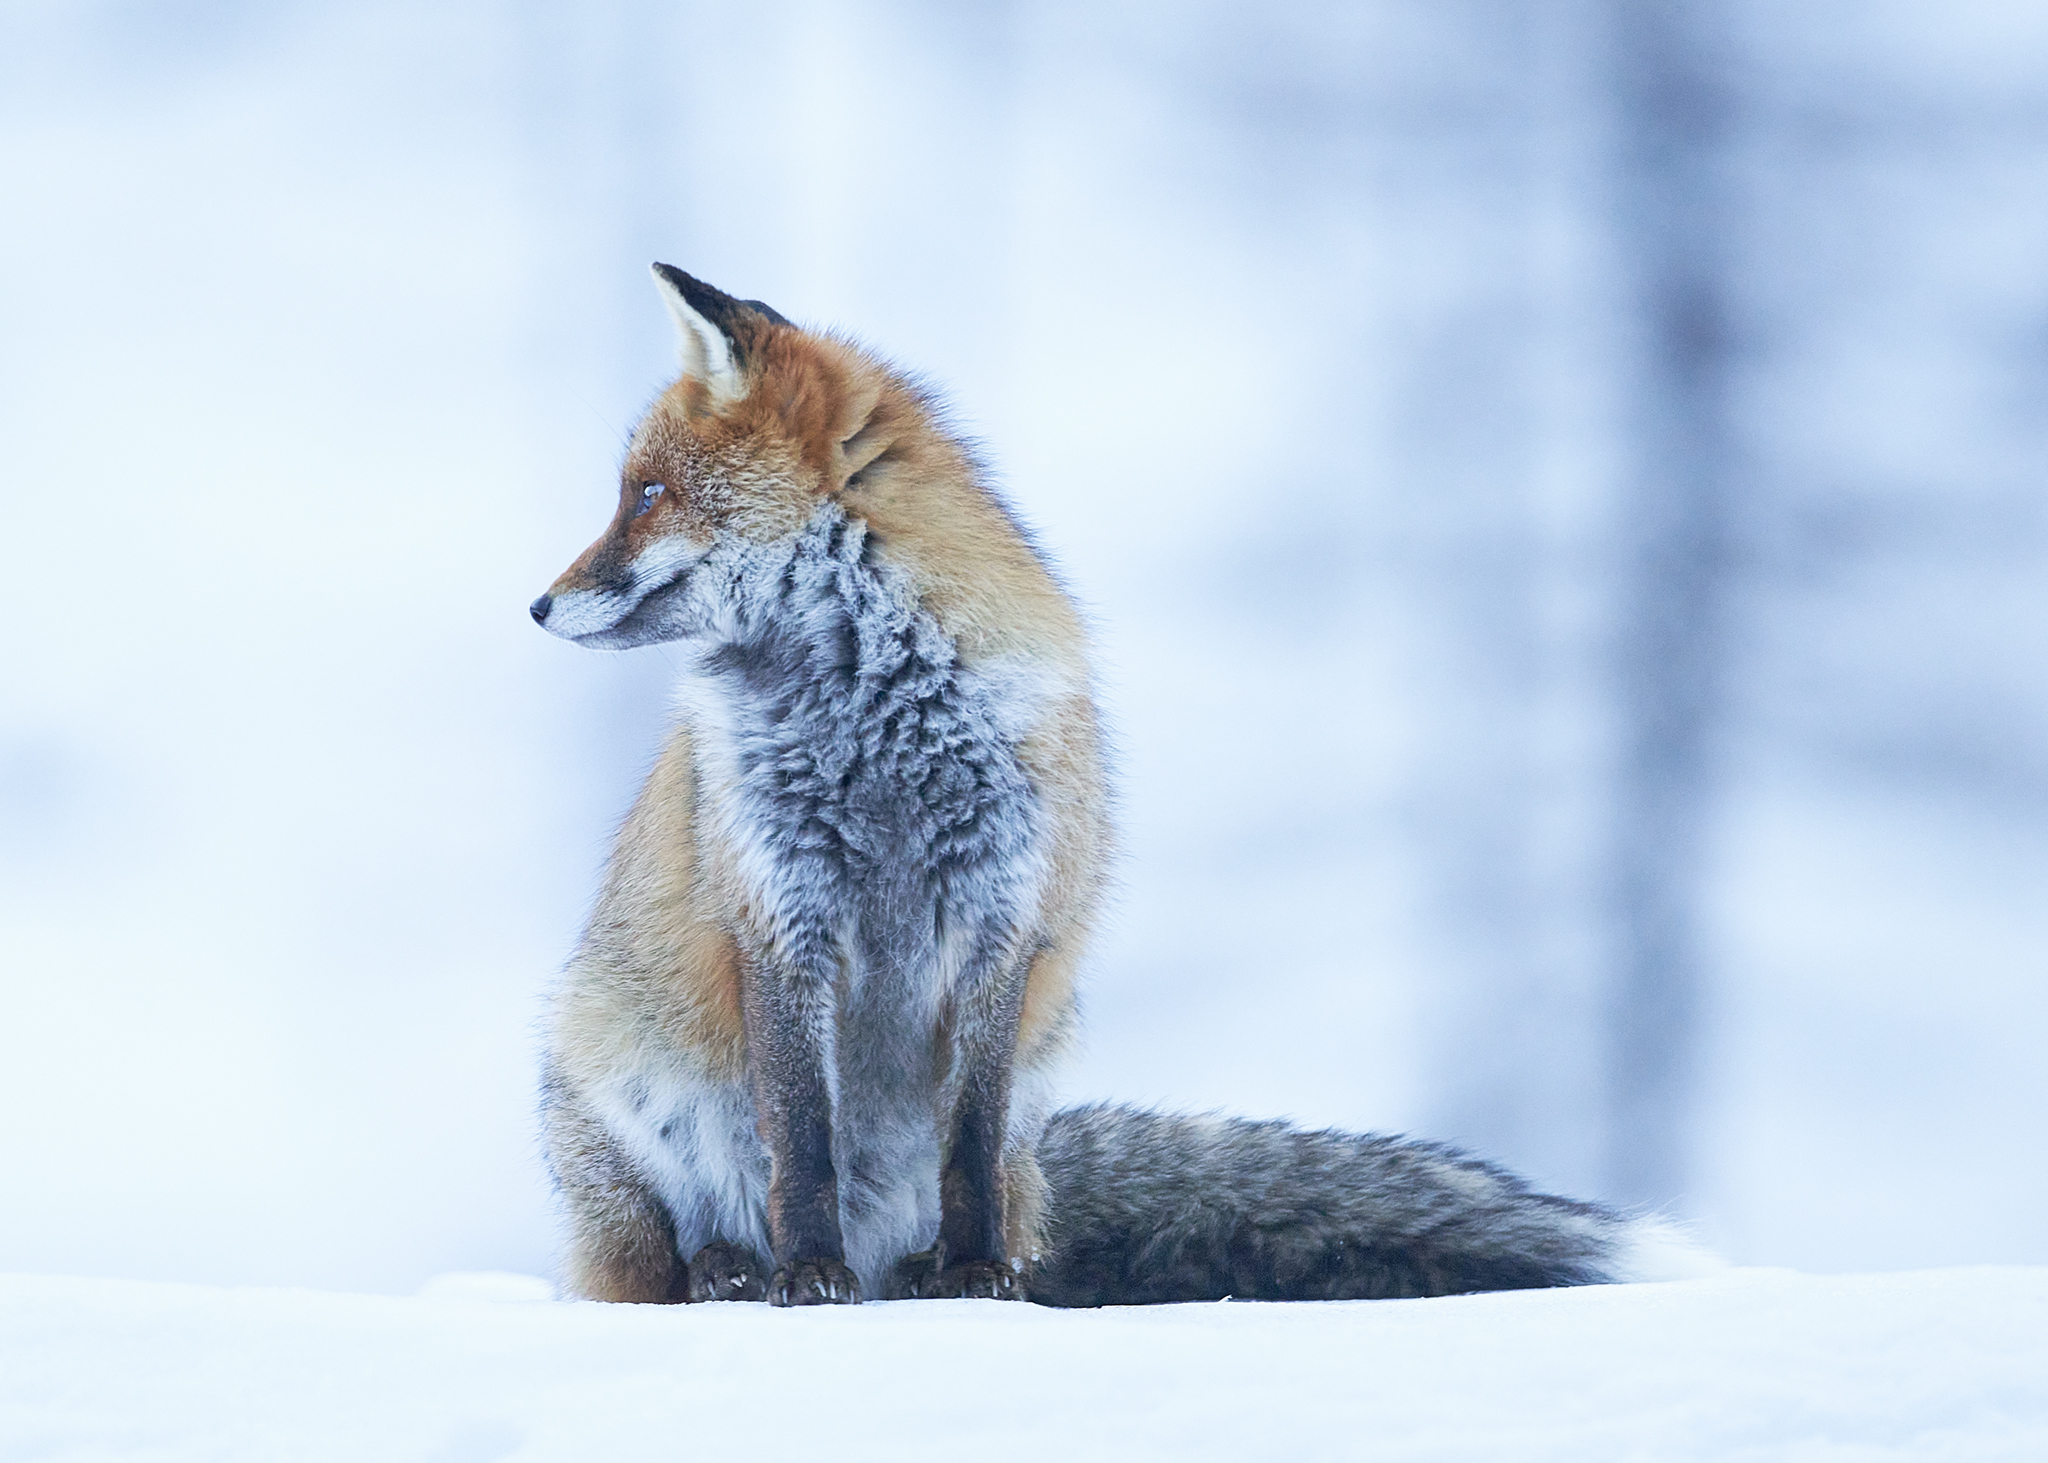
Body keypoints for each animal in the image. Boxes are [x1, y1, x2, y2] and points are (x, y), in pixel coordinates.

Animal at [531, 265, 1717, 1307]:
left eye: (646, 495)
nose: (537, 606)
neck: (878, 724)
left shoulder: (1000, 916)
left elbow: (966, 1147)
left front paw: (974, 1278)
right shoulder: (782, 912)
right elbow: (804, 1143)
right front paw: (804, 1274)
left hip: (1021, 1120)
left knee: (981, 1198)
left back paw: (916, 1270)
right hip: (626, 1103)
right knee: (659, 1263)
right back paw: (737, 1268)